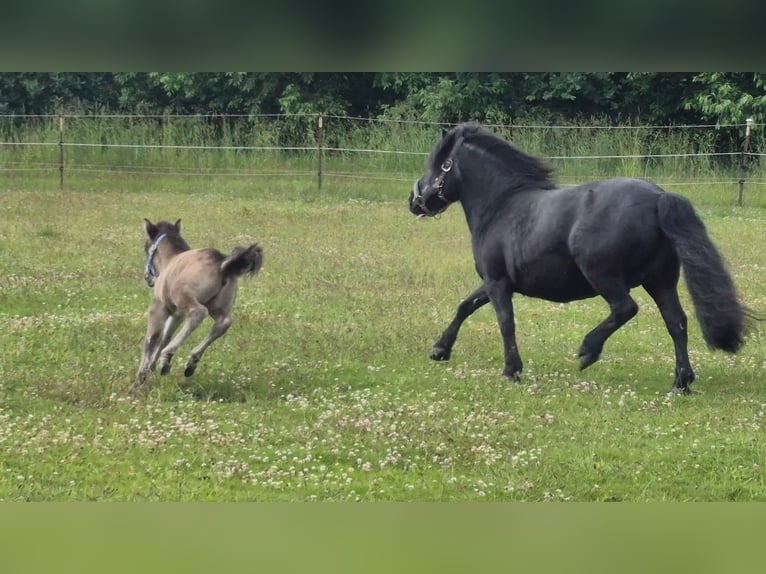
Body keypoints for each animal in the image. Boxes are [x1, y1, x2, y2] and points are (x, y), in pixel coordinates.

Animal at [134, 218, 263, 391]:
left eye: (146, 247)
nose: (148, 278)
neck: (170, 260)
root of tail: (222, 264)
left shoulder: (159, 307)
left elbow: (151, 338)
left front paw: (141, 376)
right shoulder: (177, 314)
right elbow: (165, 336)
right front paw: (151, 367)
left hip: (189, 300)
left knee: (198, 313)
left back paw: (167, 358)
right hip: (216, 307)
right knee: (224, 322)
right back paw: (191, 363)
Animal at [409, 122, 747, 394]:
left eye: (440, 165)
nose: (414, 200)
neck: (502, 206)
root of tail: (659, 197)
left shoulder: (497, 283)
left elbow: (505, 323)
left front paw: (511, 371)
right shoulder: (493, 282)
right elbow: (465, 306)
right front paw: (440, 349)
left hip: (603, 275)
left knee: (625, 308)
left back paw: (588, 350)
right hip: (660, 282)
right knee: (676, 323)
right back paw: (681, 382)